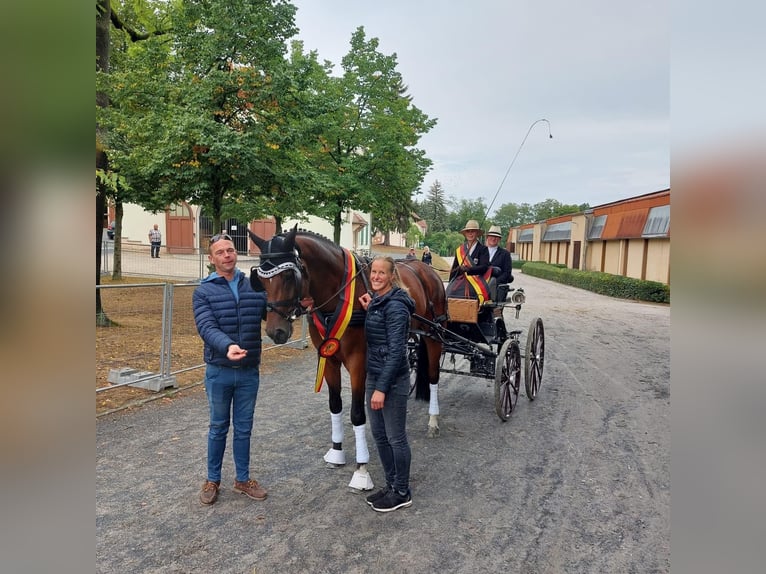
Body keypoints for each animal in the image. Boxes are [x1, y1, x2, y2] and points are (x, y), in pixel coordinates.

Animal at [249, 227, 448, 492]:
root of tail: (426, 269)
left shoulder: (357, 362)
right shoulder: (328, 358)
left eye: (290, 276)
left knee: (434, 377)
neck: (339, 295)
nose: (275, 332)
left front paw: (361, 470)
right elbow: (335, 405)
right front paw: (336, 452)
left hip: (434, 335)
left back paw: (433, 421)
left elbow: (356, 414)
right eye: (260, 280)